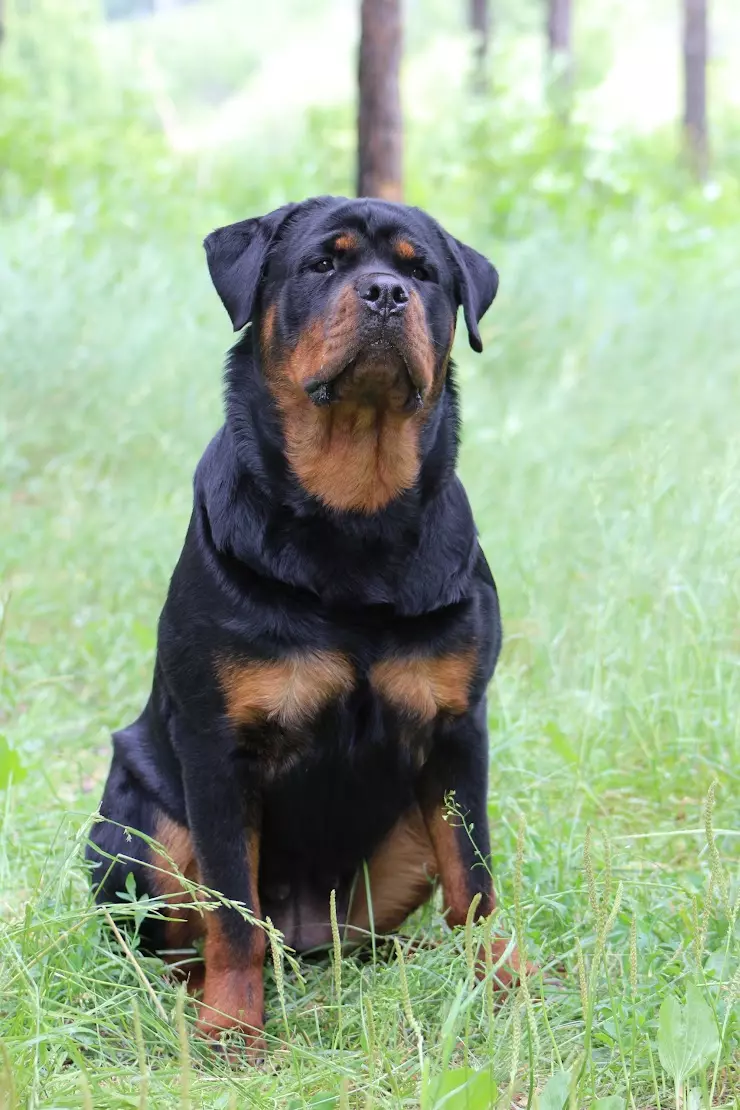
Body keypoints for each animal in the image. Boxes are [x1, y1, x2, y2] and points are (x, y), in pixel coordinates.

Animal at [88, 190, 525, 1047]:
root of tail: (309, 939)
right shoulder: (218, 750)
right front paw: (231, 1030)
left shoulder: (458, 732)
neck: (352, 519)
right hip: (141, 823)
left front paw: (502, 988)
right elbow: (233, 912)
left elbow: (476, 884)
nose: (386, 292)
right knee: (178, 937)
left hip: (401, 838)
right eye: (324, 262)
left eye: (424, 273)